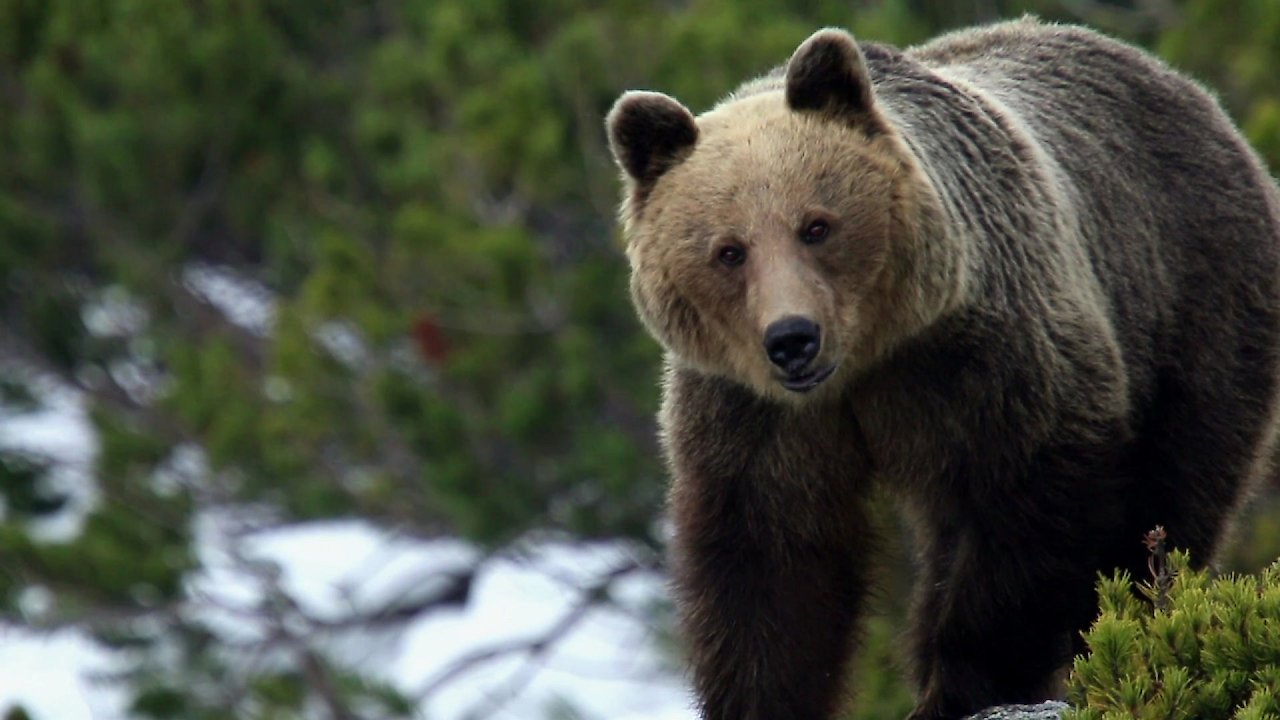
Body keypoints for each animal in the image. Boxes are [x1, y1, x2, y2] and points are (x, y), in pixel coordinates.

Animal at [605, 17, 1280, 720]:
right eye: (729, 251)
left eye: (816, 226)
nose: (792, 339)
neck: (869, 359)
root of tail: (1190, 90)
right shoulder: (755, 414)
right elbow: (771, 559)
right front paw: (771, 695)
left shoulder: (989, 359)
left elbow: (1029, 519)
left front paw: (960, 682)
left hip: (1194, 298)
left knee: (1175, 488)